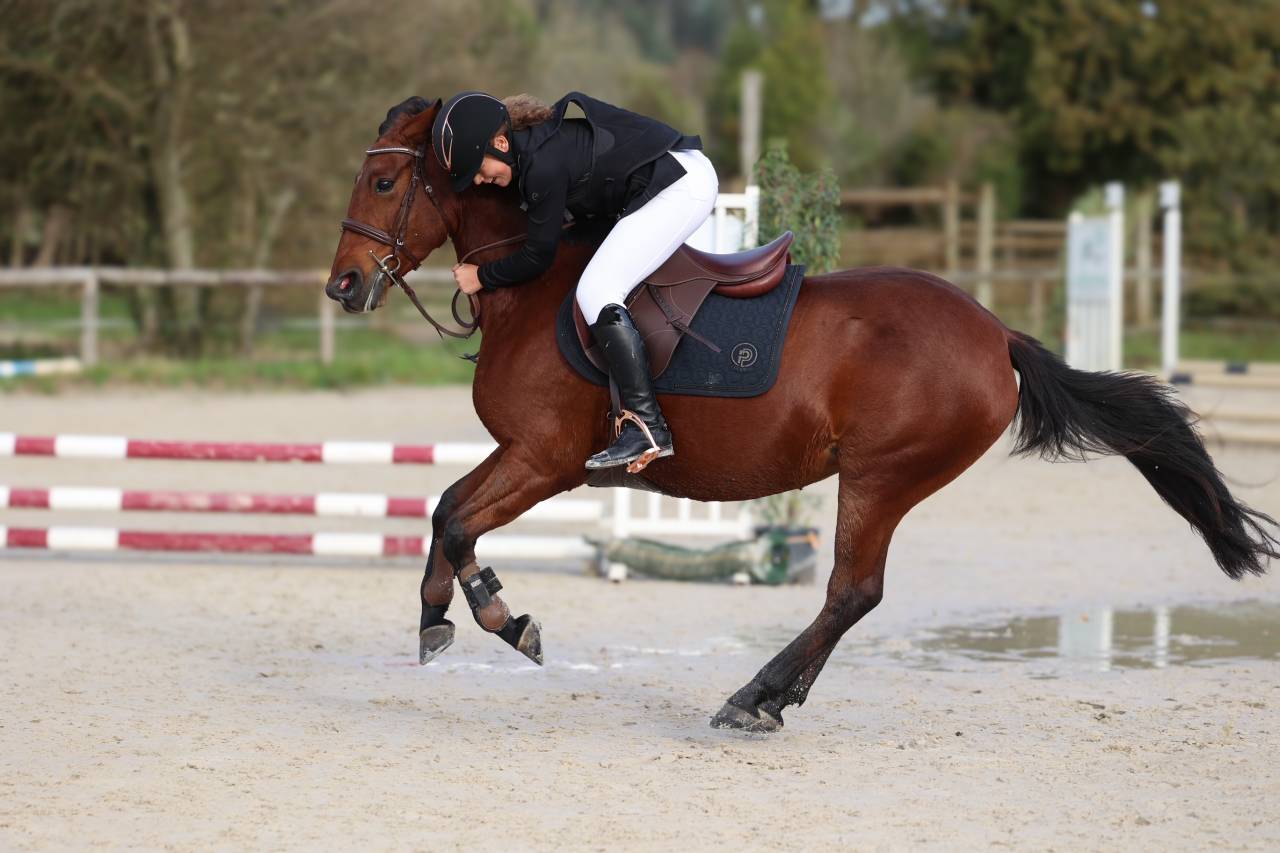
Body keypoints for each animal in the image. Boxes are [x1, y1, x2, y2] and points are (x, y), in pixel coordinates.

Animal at [324, 97, 1278, 732]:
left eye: (383, 178)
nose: (341, 286)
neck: (532, 279)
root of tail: (996, 332)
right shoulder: (521, 453)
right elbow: (445, 510)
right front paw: (440, 618)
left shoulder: (548, 458)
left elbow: (458, 520)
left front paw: (501, 617)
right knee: (852, 594)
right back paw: (769, 696)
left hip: (882, 475)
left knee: (851, 590)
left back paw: (755, 697)